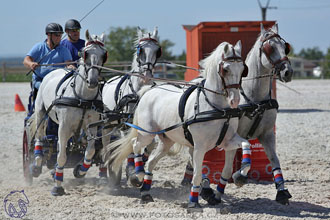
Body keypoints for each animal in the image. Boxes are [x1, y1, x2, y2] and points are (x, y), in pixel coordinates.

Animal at [30, 29, 106, 196]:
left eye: (104, 55)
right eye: (85, 53)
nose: (92, 81)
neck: (82, 97)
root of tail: (55, 70)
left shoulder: (92, 126)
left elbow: (90, 151)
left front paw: (80, 170)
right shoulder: (64, 127)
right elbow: (62, 157)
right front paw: (57, 186)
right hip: (40, 111)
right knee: (39, 137)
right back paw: (37, 164)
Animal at [101, 26, 162, 184]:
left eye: (157, 51)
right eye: (141, 50)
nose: (146, 75)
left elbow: (149, 145)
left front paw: (140, 164)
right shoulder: (127, 123)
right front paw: (132, 172)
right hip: (108, 124)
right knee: (106, 144)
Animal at [103, 40, 250, 211]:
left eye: (243, 69)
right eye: (225, 69)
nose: (235, 101)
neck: (216, 108)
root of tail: (149, 90)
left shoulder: (228, 142)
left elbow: (238, 154)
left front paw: (238, 177)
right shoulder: (199, 146)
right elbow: (197, 175)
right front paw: (193, 203)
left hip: (166, 141)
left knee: (151, 161)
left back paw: (145, 193)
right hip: (147, 133)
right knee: (135, 144)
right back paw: (138, 173)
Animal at [183, 22, 294, 205]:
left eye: (285, 47)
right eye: (270, 48)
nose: (287, 72)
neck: (254, 97)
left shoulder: (267, 134)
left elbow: (274, 160)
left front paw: (282, 191)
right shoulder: (233, 134)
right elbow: (229, 166)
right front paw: (232, 181)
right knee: (194, 157)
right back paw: (203, 187)